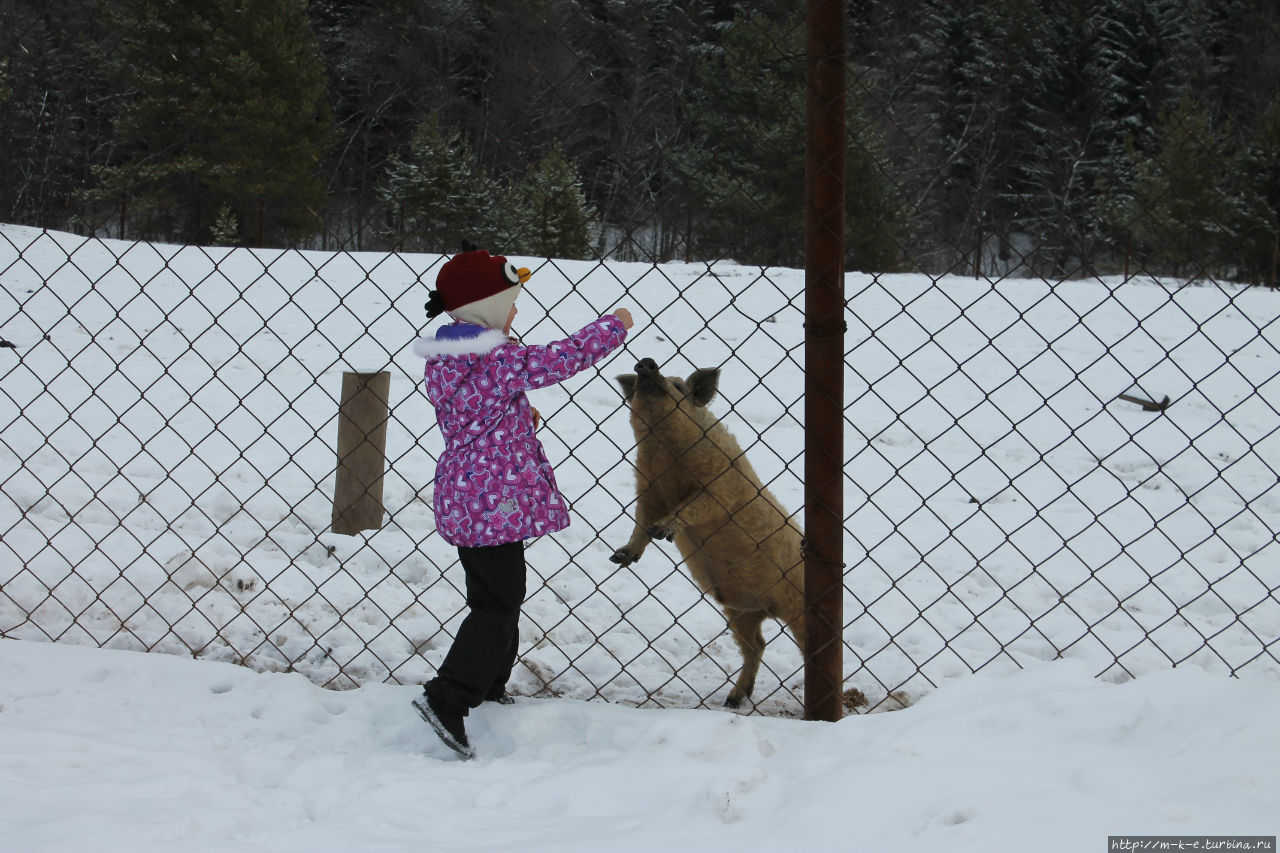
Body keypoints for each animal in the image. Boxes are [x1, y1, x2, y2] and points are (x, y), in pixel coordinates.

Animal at [606, 356, 798, 706]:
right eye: (640, 382)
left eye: (678, 386)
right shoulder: (647, 490)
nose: (647, 363)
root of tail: (768, 608)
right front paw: (619, 557)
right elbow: (640, 522)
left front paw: (662, 531)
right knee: (757, 644)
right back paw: (734, 699)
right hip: (738, 612)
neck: (665, 457)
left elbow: (693, 507)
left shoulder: (719, 487)